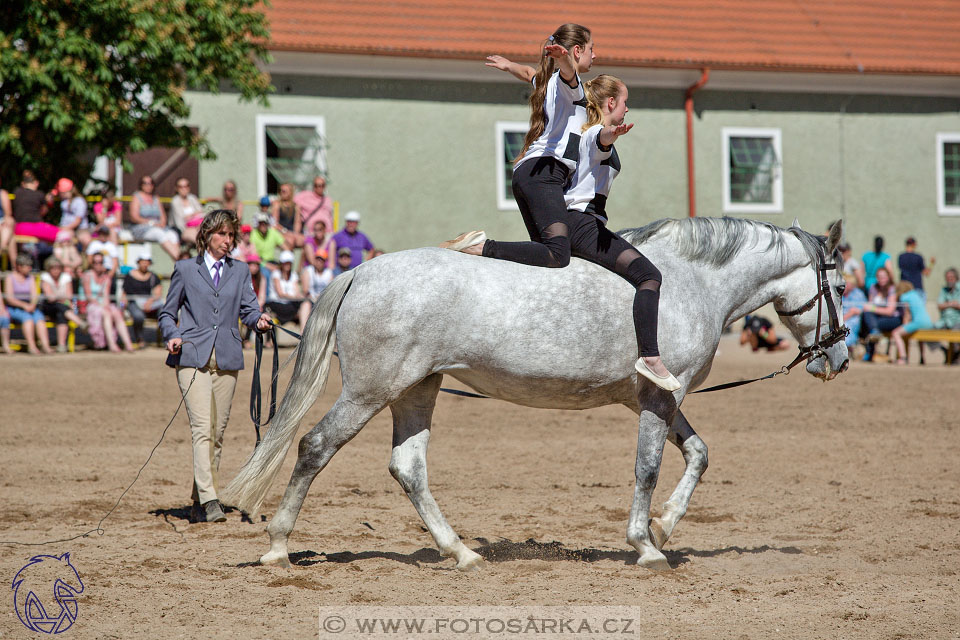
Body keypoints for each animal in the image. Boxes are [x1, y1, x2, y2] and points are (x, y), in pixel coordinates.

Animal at [223, 216, 848, 568]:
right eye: (841, 286)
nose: (839, 357)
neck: (689, 282)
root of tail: (362, 272)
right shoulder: (657, 400)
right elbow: (648, 468)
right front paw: (645, 545)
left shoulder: (656, 400)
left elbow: (697, 453)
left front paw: (665, 526)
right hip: (370, 392)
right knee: (314, 447)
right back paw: (278, 546)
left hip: (416, 389)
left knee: (408, 467)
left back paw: (461, 552)